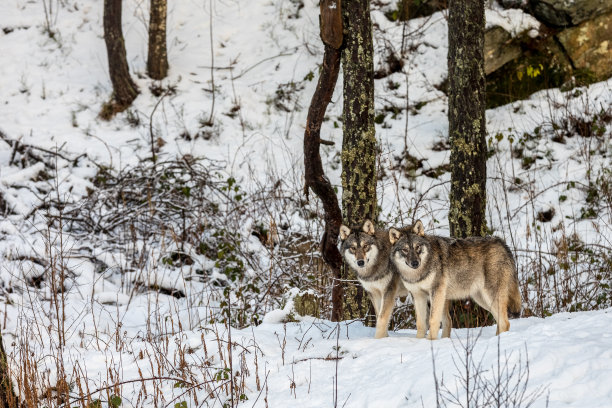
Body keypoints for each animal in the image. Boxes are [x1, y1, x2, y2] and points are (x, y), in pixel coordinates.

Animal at [390, 222, 520, 340]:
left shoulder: (436, 293)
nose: (415, 263)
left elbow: (433, 320)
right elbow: (421, 324)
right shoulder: (418, 296)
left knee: (505, 322)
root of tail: (501, 242)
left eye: (417, 247)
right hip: (482, 299)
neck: (417, 274)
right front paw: (419, 341)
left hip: (490, 297)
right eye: (405, 250)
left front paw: (430, 342)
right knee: (500, 321)